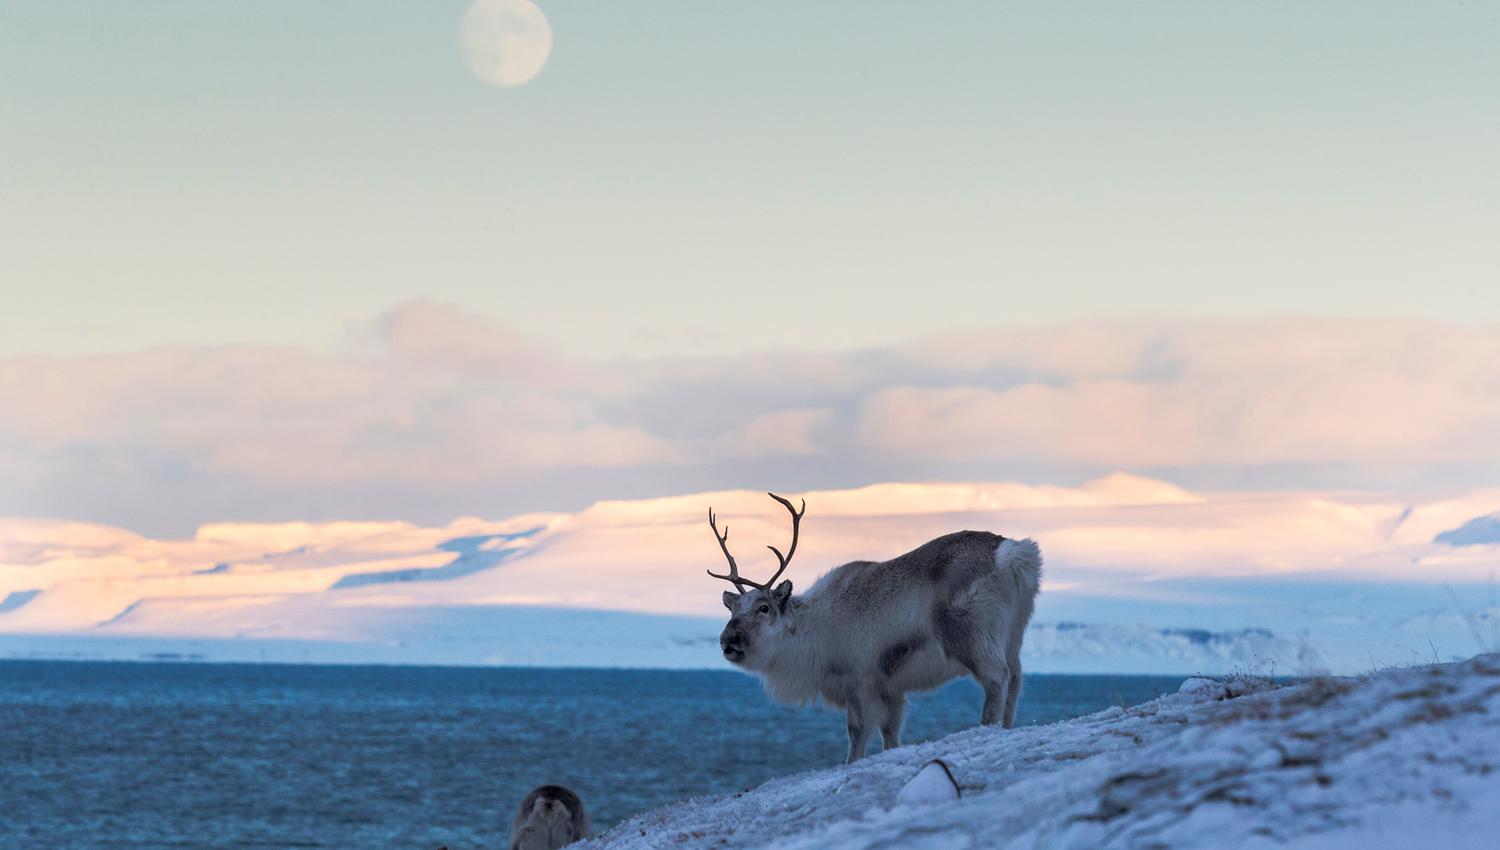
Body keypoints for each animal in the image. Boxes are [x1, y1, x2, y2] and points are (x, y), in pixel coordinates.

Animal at [708, 493, 1041, 763]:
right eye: (734, 609)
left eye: (764, 607)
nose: (727, 640)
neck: (812, 632)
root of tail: (1013, 554)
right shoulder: (890, 689)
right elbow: (890, 736)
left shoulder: (859, 681)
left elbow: (856, 735)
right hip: (1013, 635)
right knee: (1016, 680)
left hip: (973, 637)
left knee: (997, 678)